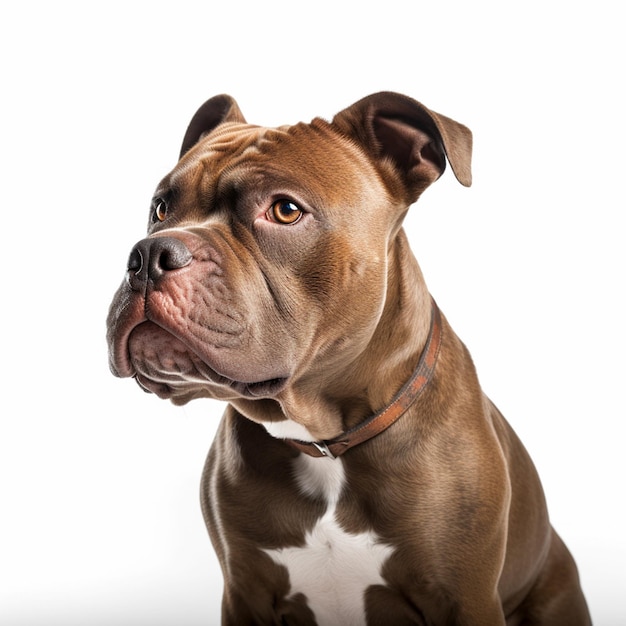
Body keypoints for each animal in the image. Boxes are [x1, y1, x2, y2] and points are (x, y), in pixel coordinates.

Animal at [105, 90, 588, 620]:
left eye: (285, 210)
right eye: (160, 208)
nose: (149, 256)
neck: (324, 438)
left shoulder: (465, 598)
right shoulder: (245, 592)